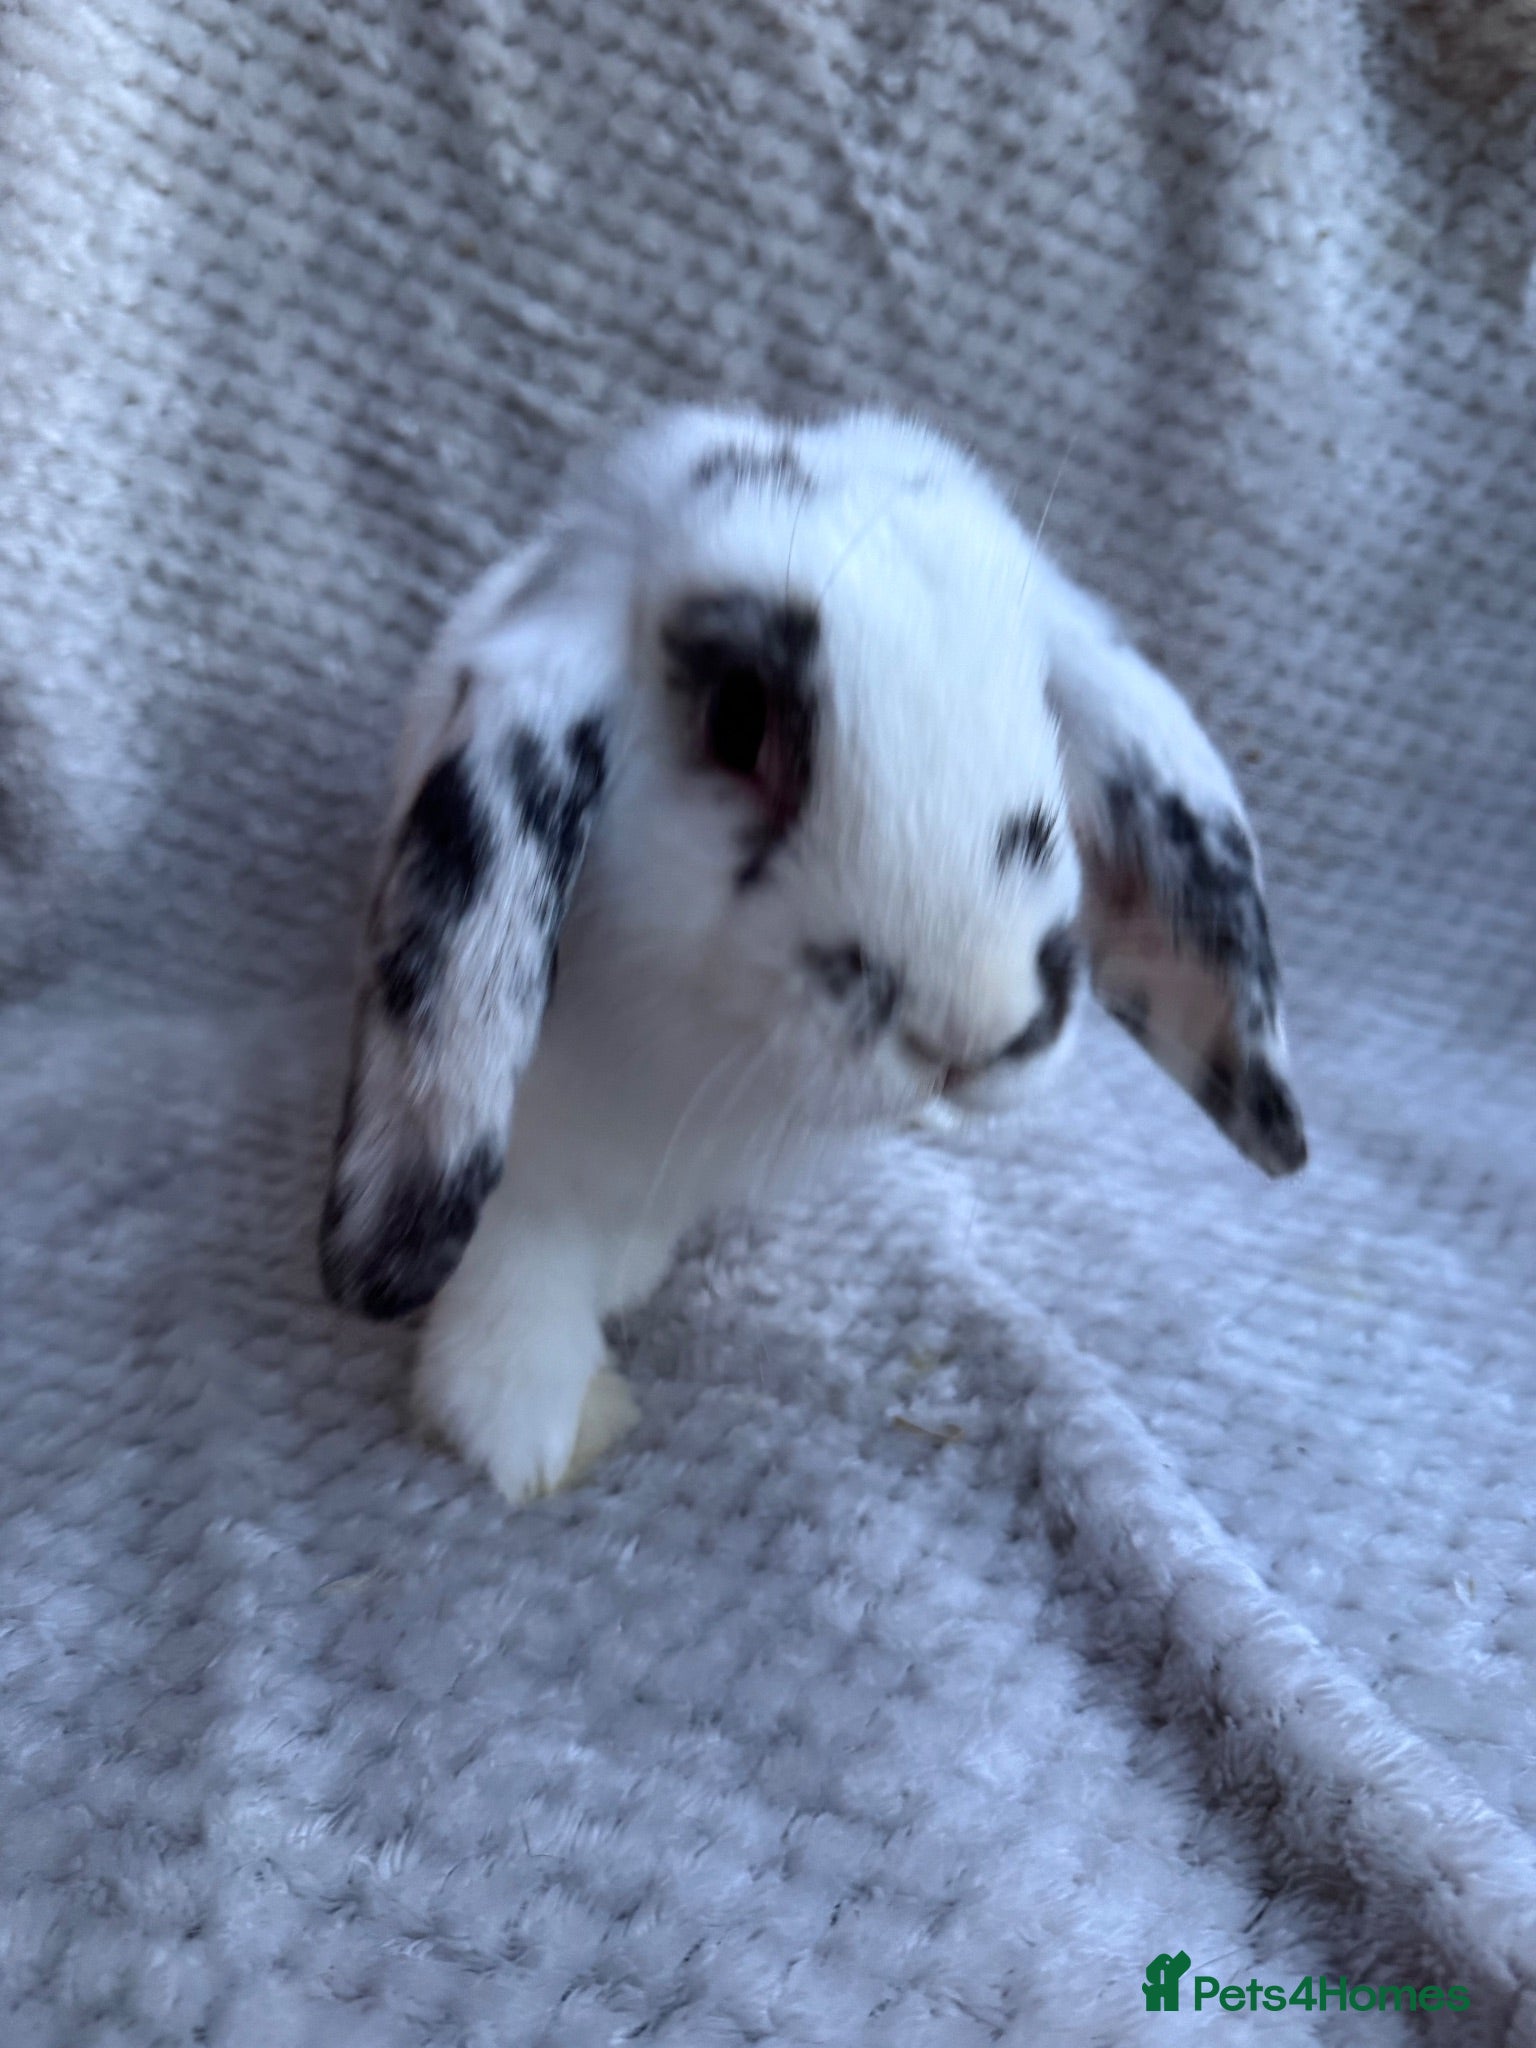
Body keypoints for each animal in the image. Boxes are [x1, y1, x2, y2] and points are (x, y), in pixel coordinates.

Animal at [319, 404, 1307, 1506]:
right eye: (738, 720)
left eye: (1044, 717)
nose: (971, 1029)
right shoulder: (524, 1131)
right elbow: (516, 1236)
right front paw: (519, 1422)